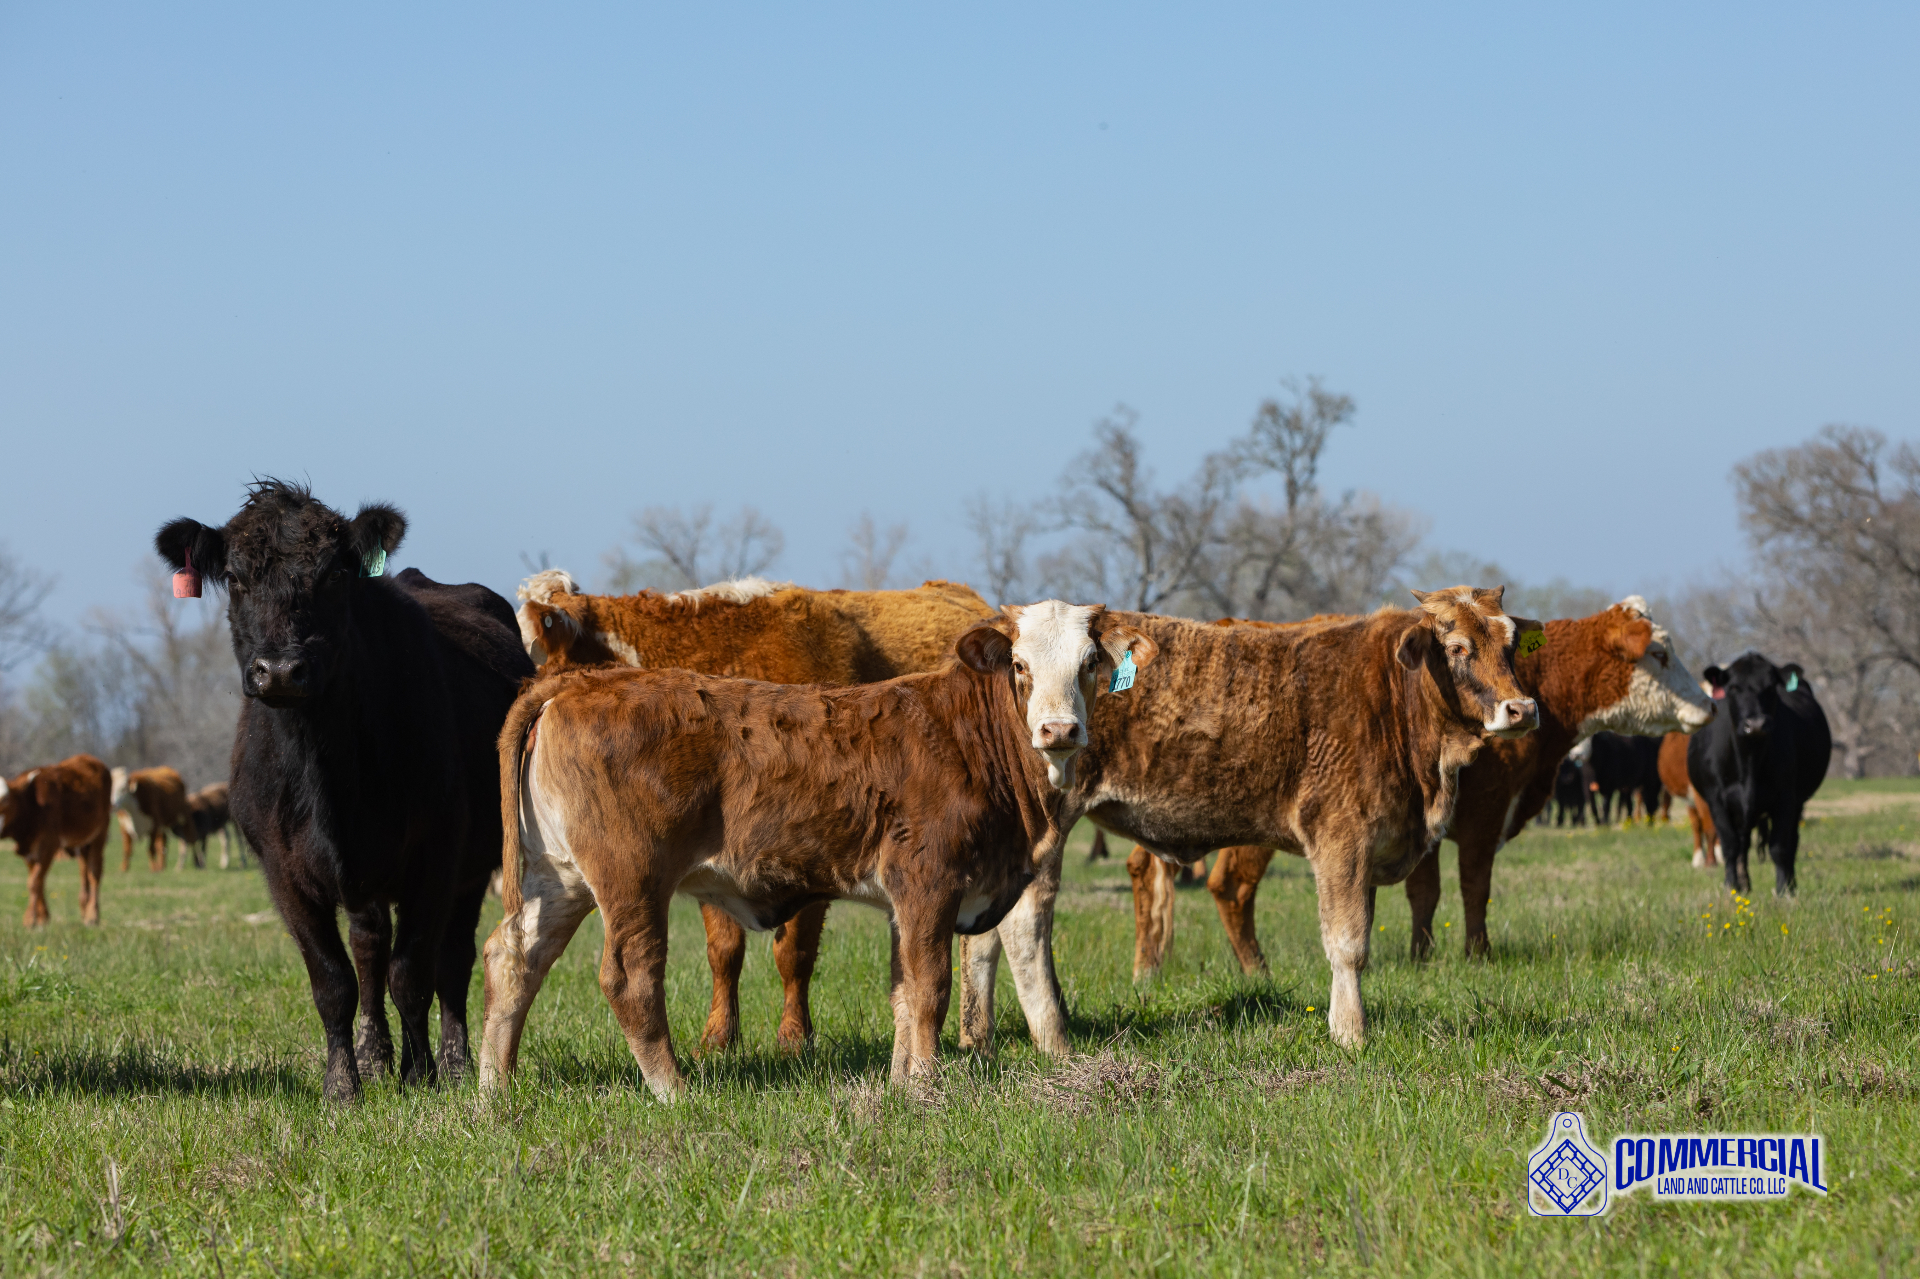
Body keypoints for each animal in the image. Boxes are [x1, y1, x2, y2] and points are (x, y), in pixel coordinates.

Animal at [1, 755, 112, 926]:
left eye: (5, 801)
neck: (33, 804)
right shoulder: (29, 850)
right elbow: (36, 880)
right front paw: (42, 917)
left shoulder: (49, 844)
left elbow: (35, 882)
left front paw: (31, 919)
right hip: (82, 843)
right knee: (84, 871)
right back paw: (84, 910)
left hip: (99, 835)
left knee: (95, 873)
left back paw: (92, 915)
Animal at [156, 480, 534, 1101]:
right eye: (234, 577)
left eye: (334, 574)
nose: (280, 670)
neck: (324, 771)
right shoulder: (282, 870)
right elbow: (334, 980)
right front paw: (343, 1084)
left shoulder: (436, 857)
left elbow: (413, 973)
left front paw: (421, 1074)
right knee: (369, 948)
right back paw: (374, 1056)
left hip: (471, 864)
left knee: (451, 960)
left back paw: (454, 1062)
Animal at [954, 586, 1541, 1052]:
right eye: (1458, 648)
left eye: (1510, 646)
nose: (1522, 709)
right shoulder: (1341, 837)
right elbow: (1348, 944)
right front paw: (1350, 1034)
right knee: (1024, 925)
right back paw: (1053, 1040)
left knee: (983, 937)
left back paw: (977, 1037)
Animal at [1688, 653, 1832, 896]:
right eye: (1733, 687)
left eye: (1771, 687)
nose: (1755, 724)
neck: (1749, 760)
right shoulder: (1716, 800)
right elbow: (1730, 845)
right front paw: (1731, 886)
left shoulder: (1786, 798)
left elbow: (1780, 846)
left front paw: (1783, 889)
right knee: (1742, 844)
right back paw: (1744, 884)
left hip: (1797, 803)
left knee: (1791, 841)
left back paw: (1790, 884)